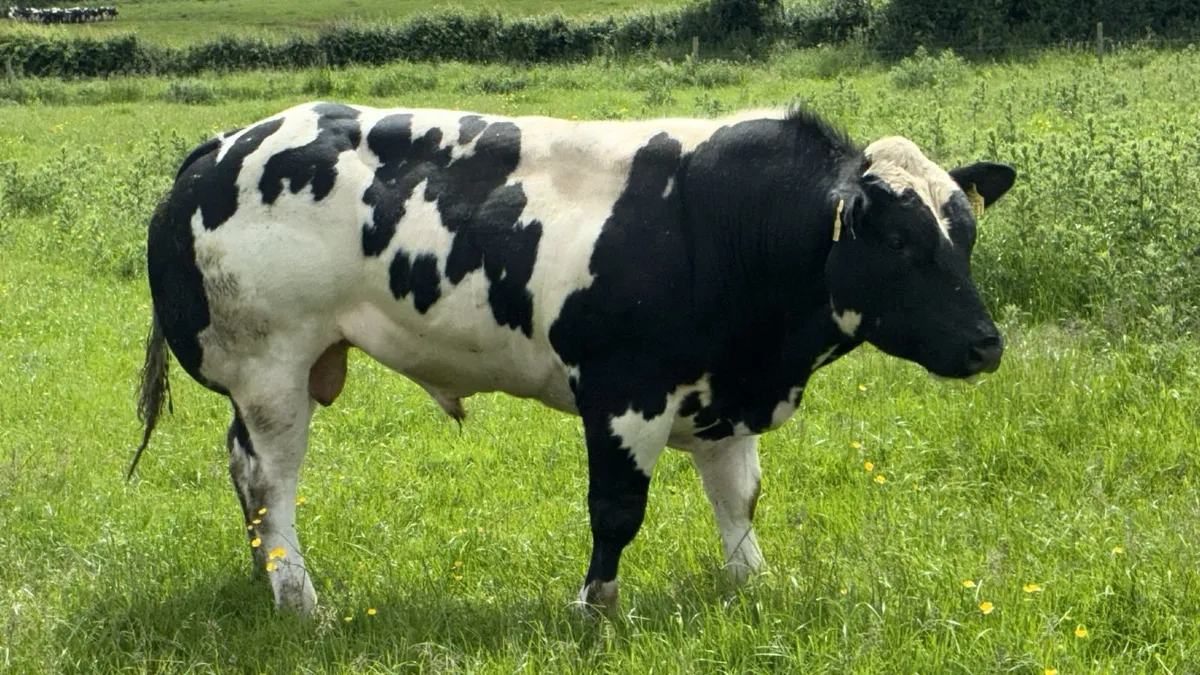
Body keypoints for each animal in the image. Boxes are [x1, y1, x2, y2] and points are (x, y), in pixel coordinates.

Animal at [132, 101, 1016, 616]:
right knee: (270, 483)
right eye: (898, 241)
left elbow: (739, 501)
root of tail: (225, 142)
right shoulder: (625, 393)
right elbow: (617, 509)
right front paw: (596, 606)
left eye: (965, 232)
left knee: (243, 471)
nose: (987, 343)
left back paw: (267, 576)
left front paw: (754, 585)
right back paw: (298, 597)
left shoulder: (724, 395)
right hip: (270, 365)